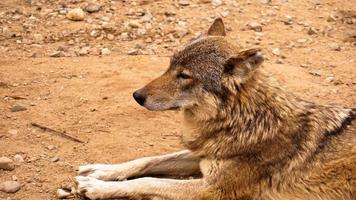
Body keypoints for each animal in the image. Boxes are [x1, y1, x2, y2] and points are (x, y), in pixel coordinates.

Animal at [73, 18, 354, 199]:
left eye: (184, 76)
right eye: (169, 66)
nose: (137, 95)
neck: (243, 121)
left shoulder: (213, 189)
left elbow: (148, 181)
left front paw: (97, 187)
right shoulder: (202, 155)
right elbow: (146, 161)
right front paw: (102, 171)